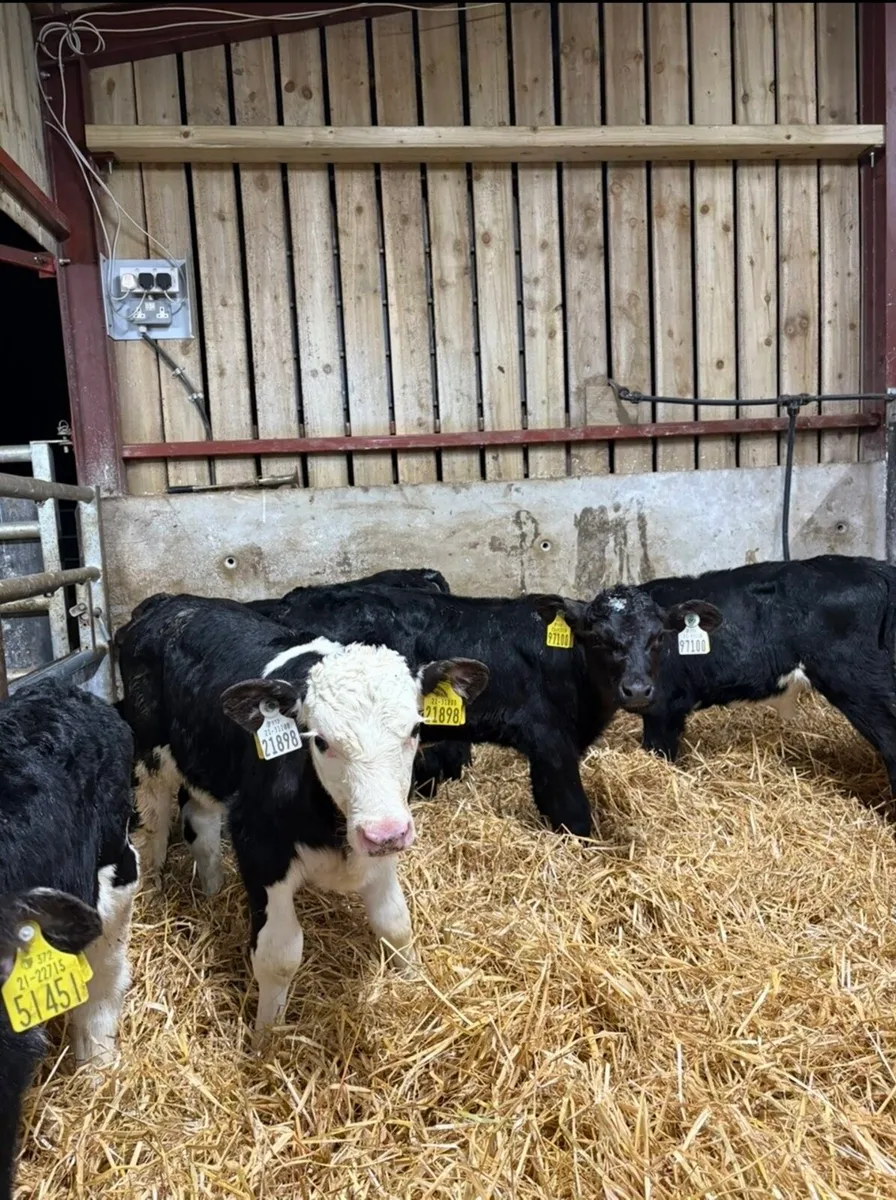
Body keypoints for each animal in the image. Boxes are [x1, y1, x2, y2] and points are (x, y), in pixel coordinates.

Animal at [115, 593, 489, 1036]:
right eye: (321, 741)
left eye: (415, 730)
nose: (386, 834)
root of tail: (168, 601)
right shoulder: (259, 846)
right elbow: (279, 955)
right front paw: (267, 1039)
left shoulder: (378, 839)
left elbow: (395, 923)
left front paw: (414, 983)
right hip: (149, 761)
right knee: (151, 836)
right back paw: (151, 898)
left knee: (201, 827)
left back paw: (212, 893)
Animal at [637, 556, 896, 798]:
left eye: (657, 637)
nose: (636, 687)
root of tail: (874, 567)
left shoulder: (665, 706)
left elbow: (660, 749)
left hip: (860, 684)